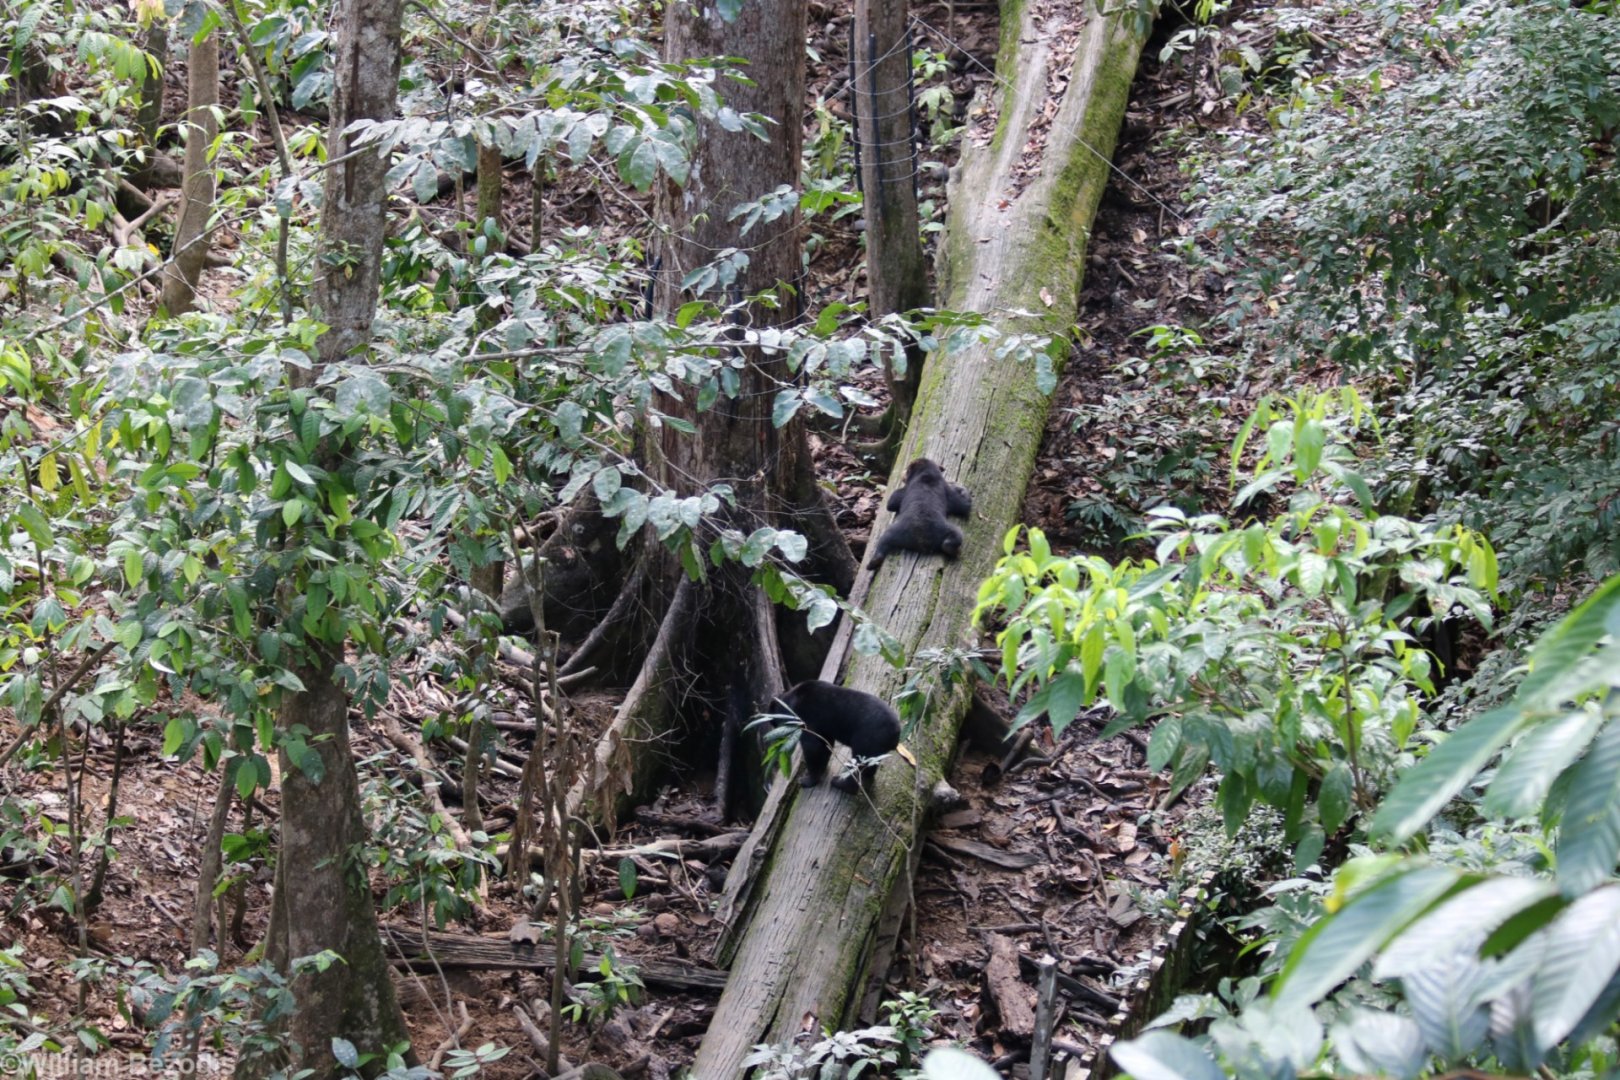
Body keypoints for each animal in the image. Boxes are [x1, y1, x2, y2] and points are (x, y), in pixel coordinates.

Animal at [772, 679, 902, 792]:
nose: (778, 737)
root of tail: (896, 734)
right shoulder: (823, 729)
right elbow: (825, 745)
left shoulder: (807, 719)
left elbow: (813, 748)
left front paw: (806, 780)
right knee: (869, 766)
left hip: (868, 740)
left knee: (859, 766)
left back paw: (839, 783)